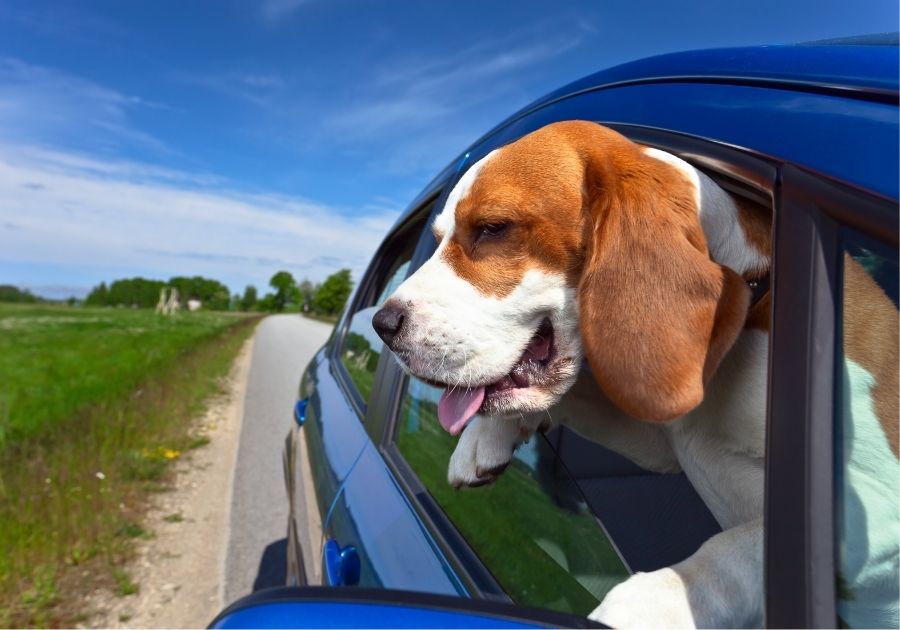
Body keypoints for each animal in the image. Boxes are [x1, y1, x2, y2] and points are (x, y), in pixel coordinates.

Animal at [370, 121, 896, 628]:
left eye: (492, 228)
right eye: (439, 239)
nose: (382, 325)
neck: (752, 305)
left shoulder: (873, 509)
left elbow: (747, 547)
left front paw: (653, 604)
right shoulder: (664, 439)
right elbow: (570, 397)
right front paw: (485, 436)